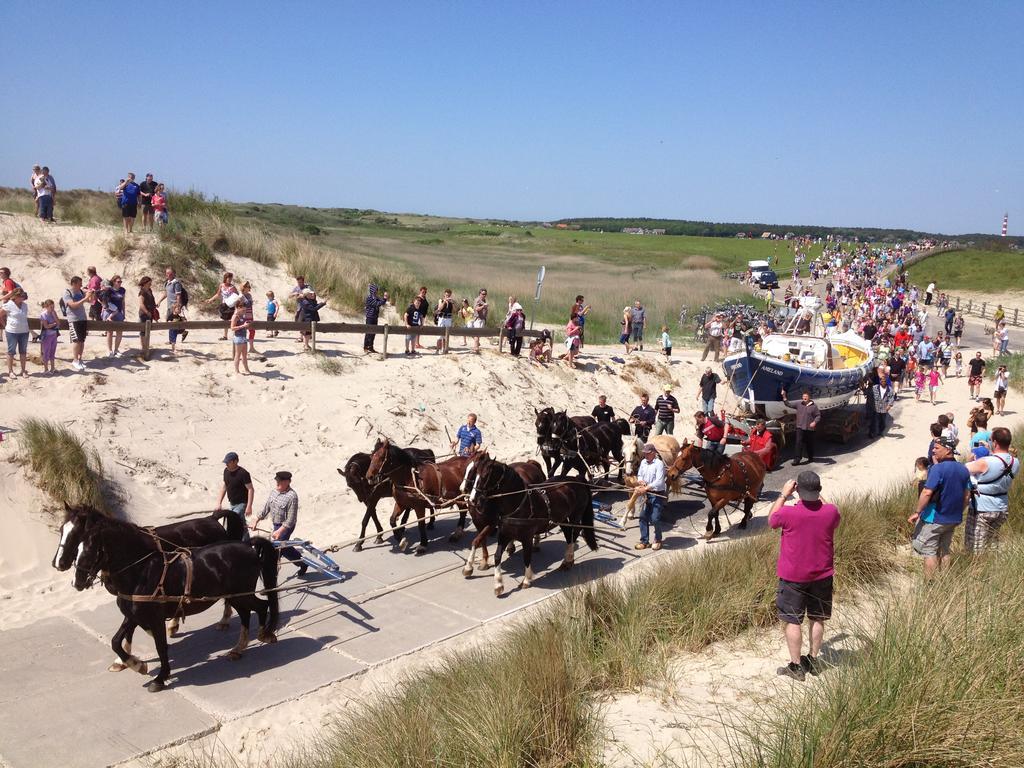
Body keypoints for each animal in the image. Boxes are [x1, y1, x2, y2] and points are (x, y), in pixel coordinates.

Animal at [71, 514, 280, 696]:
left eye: (89, 551)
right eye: (76, 549)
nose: (76, 582)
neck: (141, 571)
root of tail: (247, 546)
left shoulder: (154, 618)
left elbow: (161, 647)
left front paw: (160, 678)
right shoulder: (135, 615)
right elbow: (116, 641)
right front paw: (137, 664)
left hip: (241, 595)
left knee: (261, 607)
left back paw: (264, 634)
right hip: (236, 596)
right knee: (247, 613)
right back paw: (239, 648)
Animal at [468, 460, 598, 598]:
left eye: (485, 476)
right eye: (474, 475)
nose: (472, 500)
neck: (519, 504)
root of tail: (577, 479)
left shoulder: (527, 537)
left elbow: (526, 557)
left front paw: (526, 580)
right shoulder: (504, 534)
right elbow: (497, 556)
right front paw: (498, 585)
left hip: (575, 516)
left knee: (574, 533)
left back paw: (568, 560)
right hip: (562, 519)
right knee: (569, 535)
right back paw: (566, 562)